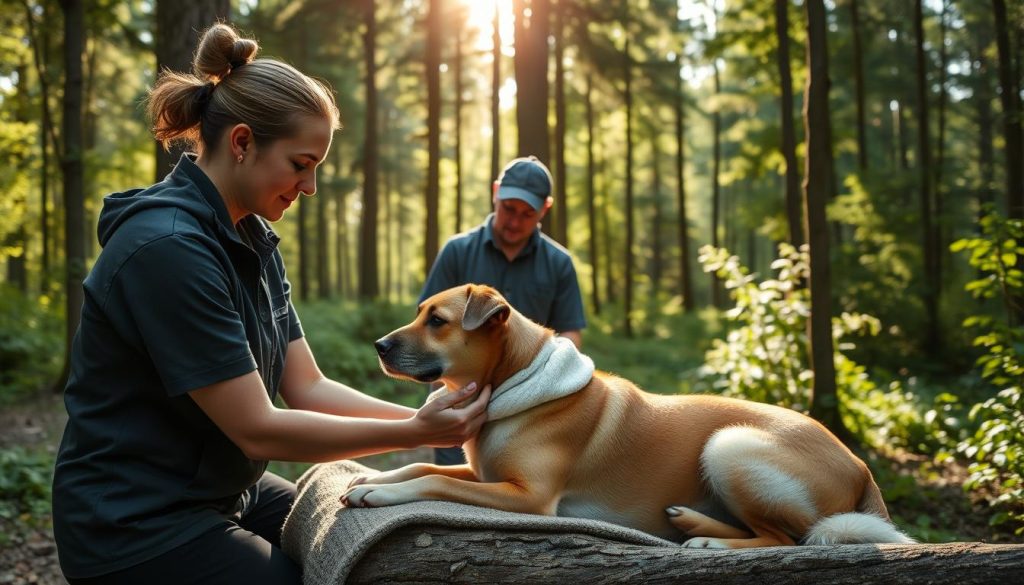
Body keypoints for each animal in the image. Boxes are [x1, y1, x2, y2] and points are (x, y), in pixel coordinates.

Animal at [344, 284, 913, 549]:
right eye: (421, 314)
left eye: (437, 321)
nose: (378, 346)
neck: (515, 380)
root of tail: (861, 466)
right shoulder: (485, 474)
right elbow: (424, 466)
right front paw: (374, 479)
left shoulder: (528, 497)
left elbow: (434, 483)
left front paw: (381, 495)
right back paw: (690, 520)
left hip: (730, 444)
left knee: (785, 539)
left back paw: (708, 538)